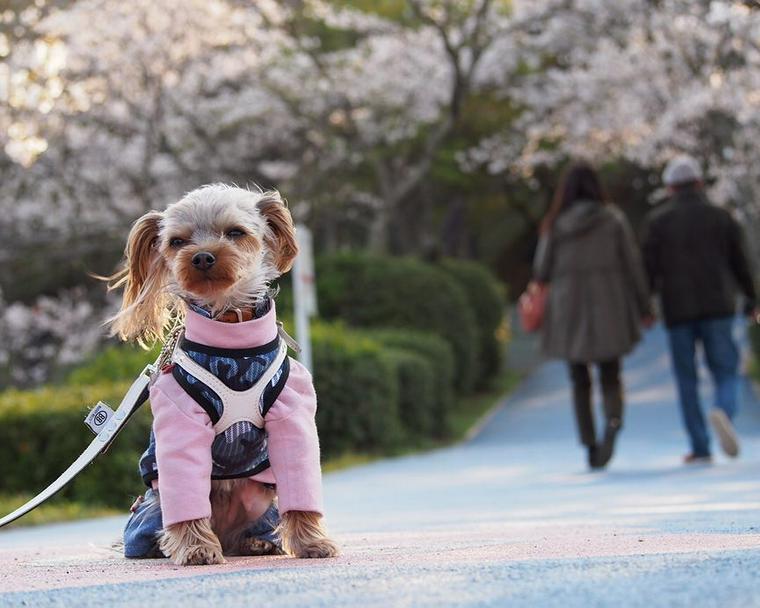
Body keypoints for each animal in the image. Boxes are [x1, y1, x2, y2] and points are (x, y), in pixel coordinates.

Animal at [106, 184, 338, 564]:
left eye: (235, 233)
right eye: (177, 242)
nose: (202, 257)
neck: (231, 328)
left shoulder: (292, 406)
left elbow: (299, 473)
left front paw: (312, 544)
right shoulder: (180, 413)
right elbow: (184, 479)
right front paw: (197, 549)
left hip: (263, 503)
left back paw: (256, 542)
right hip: (153, 505)